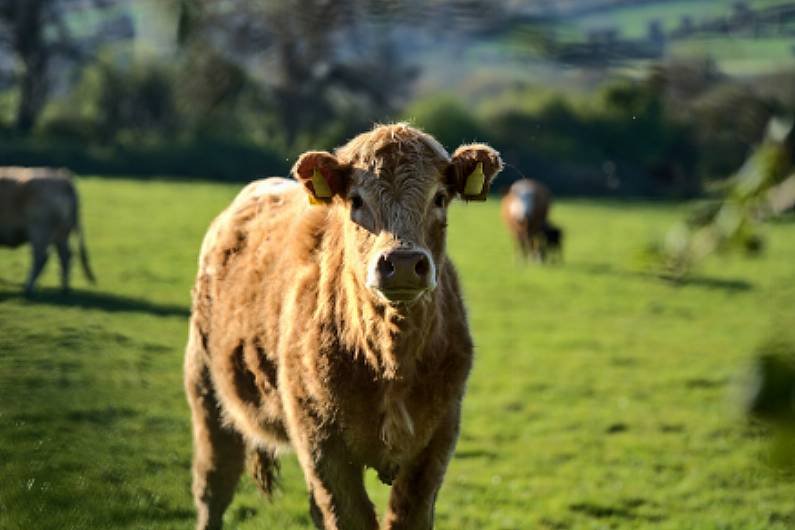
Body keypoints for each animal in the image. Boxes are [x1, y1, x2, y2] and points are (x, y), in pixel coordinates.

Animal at [183, 122, 500, 528]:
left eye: (440, 197)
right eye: (356, 200)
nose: (402, 262)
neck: (389, 359)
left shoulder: (436, 443)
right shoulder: (322, 445)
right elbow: (349, 517)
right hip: (206, 391)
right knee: (213, 486)